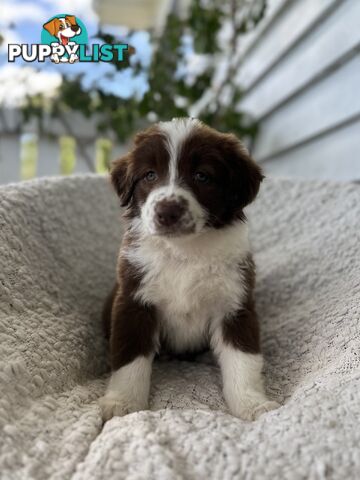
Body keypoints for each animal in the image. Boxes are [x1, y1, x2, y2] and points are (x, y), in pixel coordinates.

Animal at [100, 118, 280, 422]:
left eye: (202, 176)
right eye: (149, 175)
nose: (167, 211)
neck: (184, 251)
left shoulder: (235, 304)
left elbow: (244, 360)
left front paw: (253, 405)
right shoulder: (133, 300)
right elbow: (129, 357)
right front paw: (122, 402)